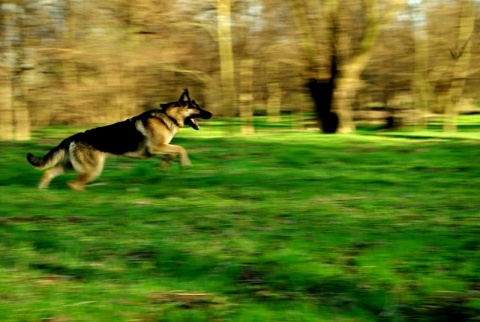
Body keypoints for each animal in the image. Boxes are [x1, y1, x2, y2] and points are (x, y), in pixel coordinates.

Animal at [26, 88, 212, 190]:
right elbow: (181, 148)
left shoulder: (161, 147)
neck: (168, 116)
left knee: (49, 172)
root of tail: (74, 136)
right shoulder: (157, 146)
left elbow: (172, 153)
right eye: (197, 107)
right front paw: (185, 163)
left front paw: (164, 166)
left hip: (70, 166)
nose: (211, 114)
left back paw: (42, 190)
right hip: (92, 169)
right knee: (73, 184)